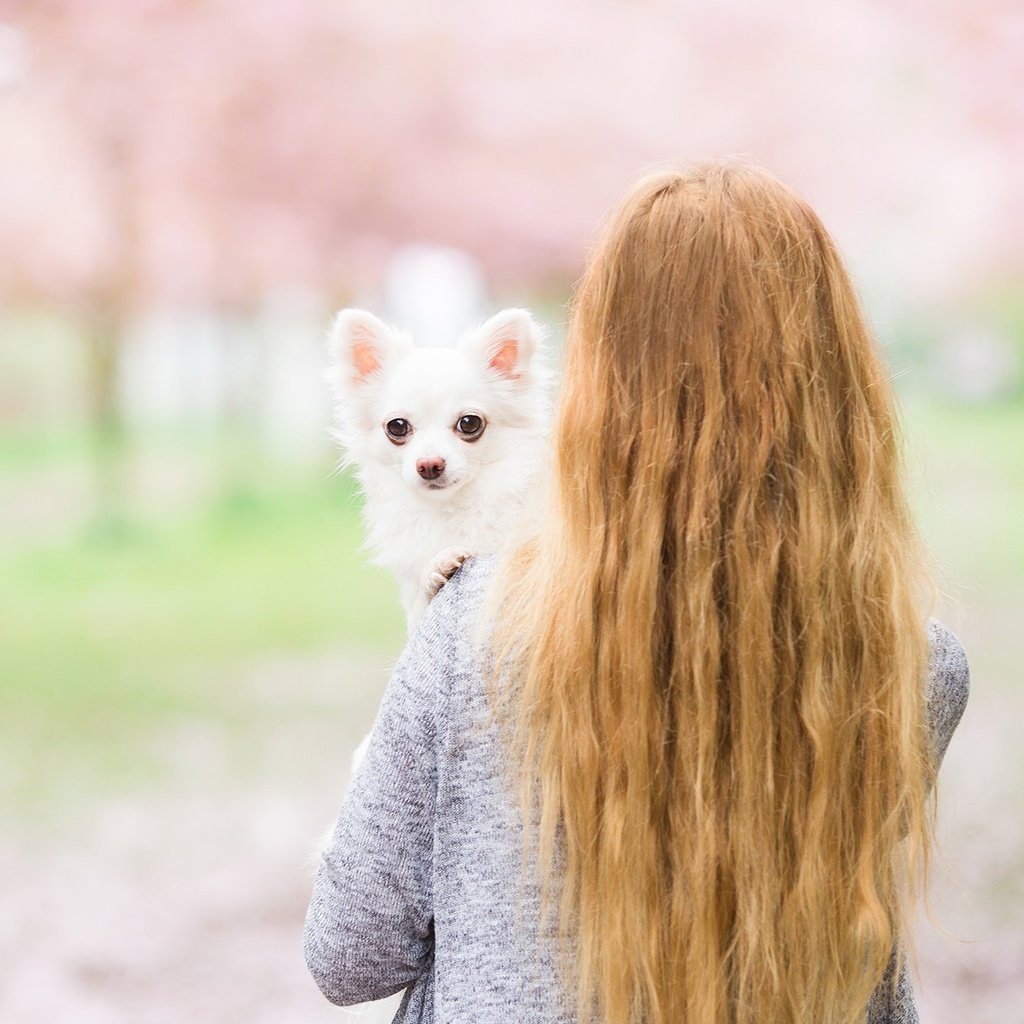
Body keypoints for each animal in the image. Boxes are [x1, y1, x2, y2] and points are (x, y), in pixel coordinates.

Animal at [327, 307, 552, 630]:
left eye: (469, 423)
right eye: (397, 426)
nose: (430, 464)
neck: (452, 509)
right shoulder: (413, 609)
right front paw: (436, 569)